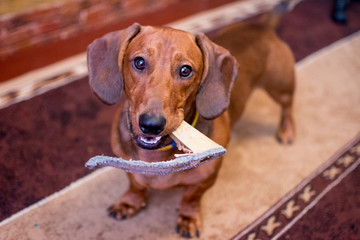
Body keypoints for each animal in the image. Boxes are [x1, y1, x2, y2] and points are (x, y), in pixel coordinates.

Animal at [87, 1, 296, 238]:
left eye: (185, 70)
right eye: (139, 62)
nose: (151, 125)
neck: (157, 156)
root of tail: (261, 27)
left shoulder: (204, 180)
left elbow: (190, 197)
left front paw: (188, 217)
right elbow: (135, 184)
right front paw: (130, 202)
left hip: (281, 86)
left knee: (287, 106)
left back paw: (287, 130)